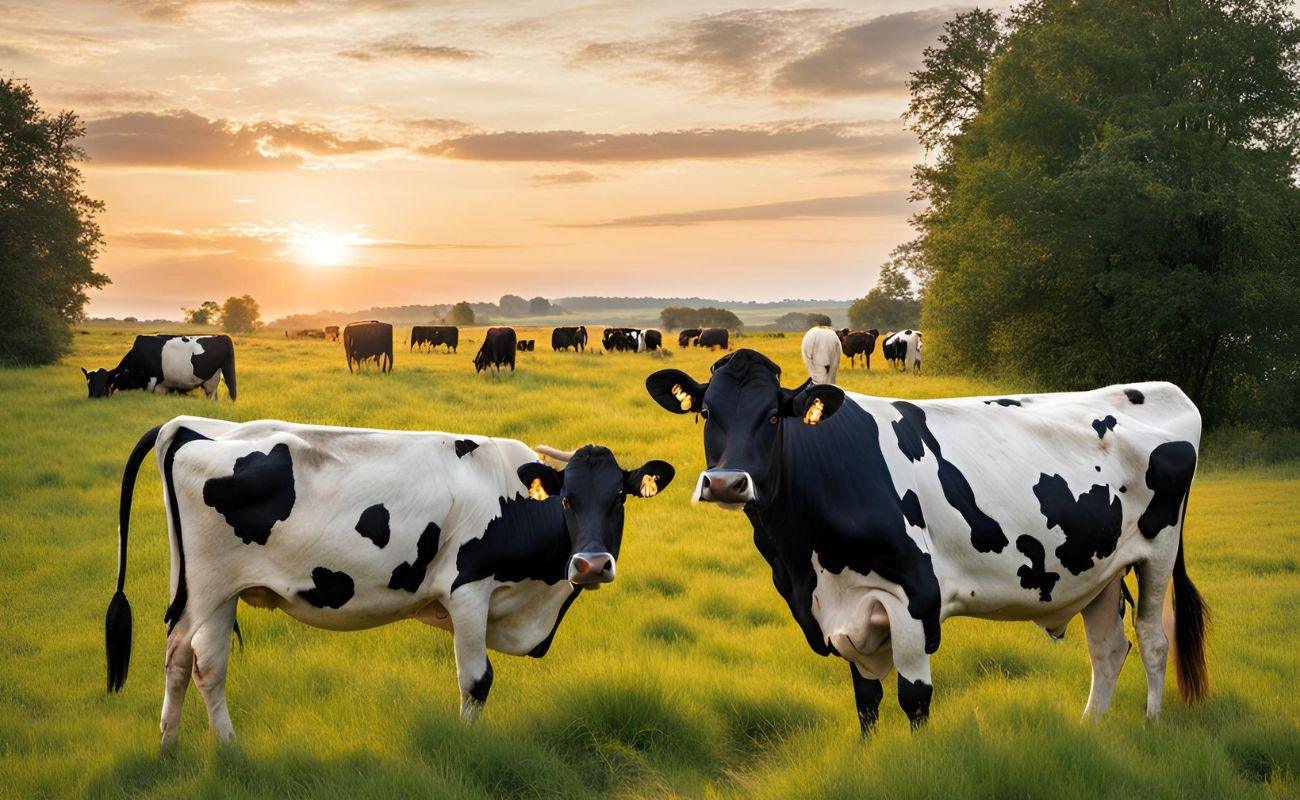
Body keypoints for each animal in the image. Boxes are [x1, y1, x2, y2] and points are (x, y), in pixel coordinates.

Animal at [83, 334, 236, 401]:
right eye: (89, 383)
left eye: (104, 381)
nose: (94, 396)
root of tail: (221, 336)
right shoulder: (163, 387)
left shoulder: (152, 379)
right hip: (212, 382)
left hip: (227, 374)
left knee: (232, 392)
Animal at [102, 417, 675, 749]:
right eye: (567, 499)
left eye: (619, 498)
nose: (592, 565)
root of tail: (191, 426)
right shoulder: (469, 591)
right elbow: (477, 680)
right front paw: (467, 746)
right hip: (205, 586)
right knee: (184, 656)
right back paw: (190, 749)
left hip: (214, 589)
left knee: (202, 664)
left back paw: (207, 750)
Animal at [646, 349, 1208, 732]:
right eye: (706, 414)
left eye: (771, 416)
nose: (726, 483)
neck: (807, 564)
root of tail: (1161, 389)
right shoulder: (839, 610)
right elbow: (866, 701)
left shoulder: (912, 598)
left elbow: (914, 697)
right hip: (1098, 570)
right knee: (1109, 648)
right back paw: (1088, 729)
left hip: (1157, 552)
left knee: (1153, 640)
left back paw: (1151, 724)